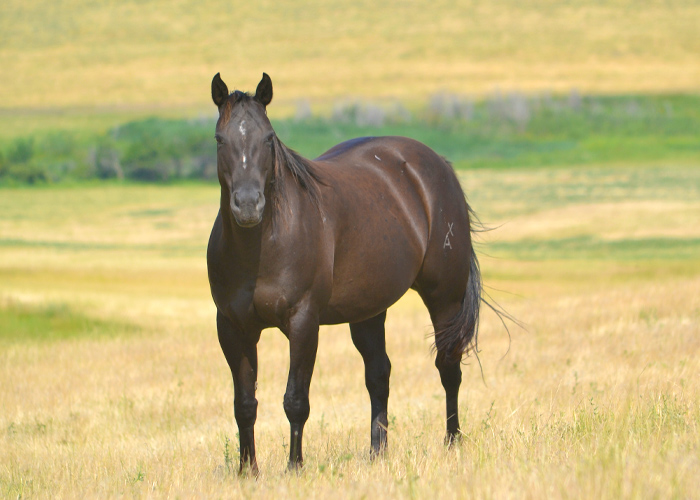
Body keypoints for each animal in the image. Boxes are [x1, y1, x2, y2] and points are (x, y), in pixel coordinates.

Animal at [205, 71, 484, 472]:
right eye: (220, 139)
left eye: (268, 138)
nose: (247, 205)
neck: (262, 245)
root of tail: (438, 165)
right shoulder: (232, 327)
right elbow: (244, 405)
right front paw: (248, 472)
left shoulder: (303, 322)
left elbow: (295, 400)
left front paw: (294, 468)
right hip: (368, 310)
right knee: (379, 375)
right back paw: (377, 452)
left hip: (444, 296)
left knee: (448, 366)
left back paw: (452, 443)